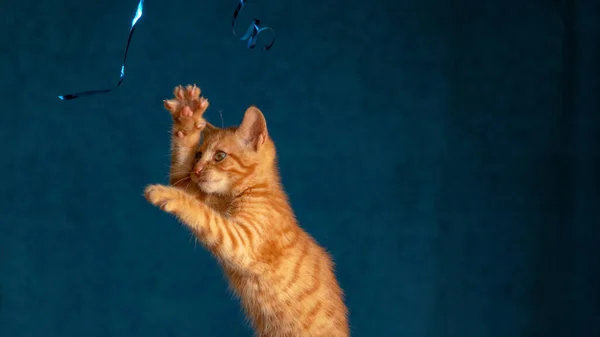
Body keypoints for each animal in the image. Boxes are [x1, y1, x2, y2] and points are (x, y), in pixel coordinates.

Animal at [145, 84, 350, 336]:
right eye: (197, 155)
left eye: (220, 156)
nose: (198, 170)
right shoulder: (188, 184)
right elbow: (181, 173)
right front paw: (188, 118)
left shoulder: (243, 239)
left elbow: (202, 213)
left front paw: (166, 194)